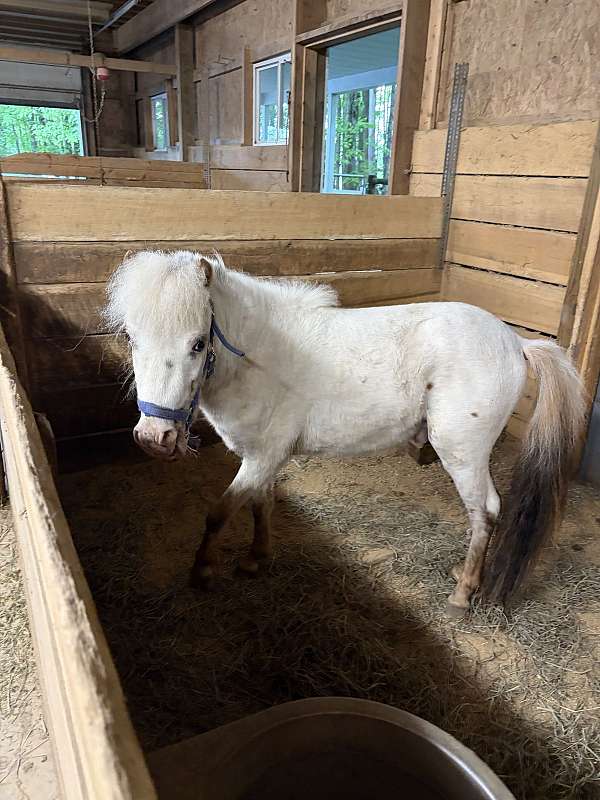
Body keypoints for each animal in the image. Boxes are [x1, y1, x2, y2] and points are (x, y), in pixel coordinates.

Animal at [105, 250, 585, 615]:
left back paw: (463, 593)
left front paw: (202, 571)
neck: (262, 359)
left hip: (463, 454)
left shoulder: (262, 458)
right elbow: (261, 506)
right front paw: (256, 559)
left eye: (197, 344)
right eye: (131, 338)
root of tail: (517, 343)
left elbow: (219, 513)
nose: (154, 438)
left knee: (484, 510)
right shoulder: (262, 458)